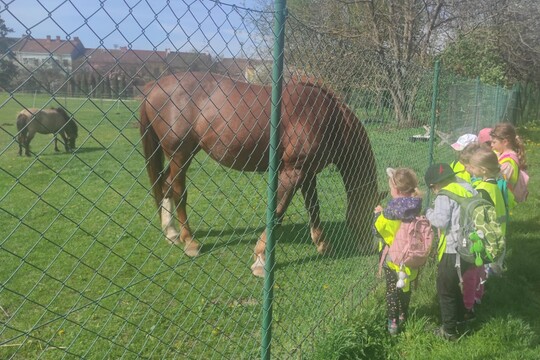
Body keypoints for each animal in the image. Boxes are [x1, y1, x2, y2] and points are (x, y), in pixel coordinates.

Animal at [140, 71, 380, 278]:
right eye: (371, 215)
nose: (371, 248)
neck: (327, 118)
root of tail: (154, 87)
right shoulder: (293, 172)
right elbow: (278, 211)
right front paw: (261, 259)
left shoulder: (308, 173)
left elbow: (313, 207)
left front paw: (322, 244)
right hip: (180, 155)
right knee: (178, 190)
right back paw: (189, 241)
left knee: (165, 186)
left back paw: (171, 233)